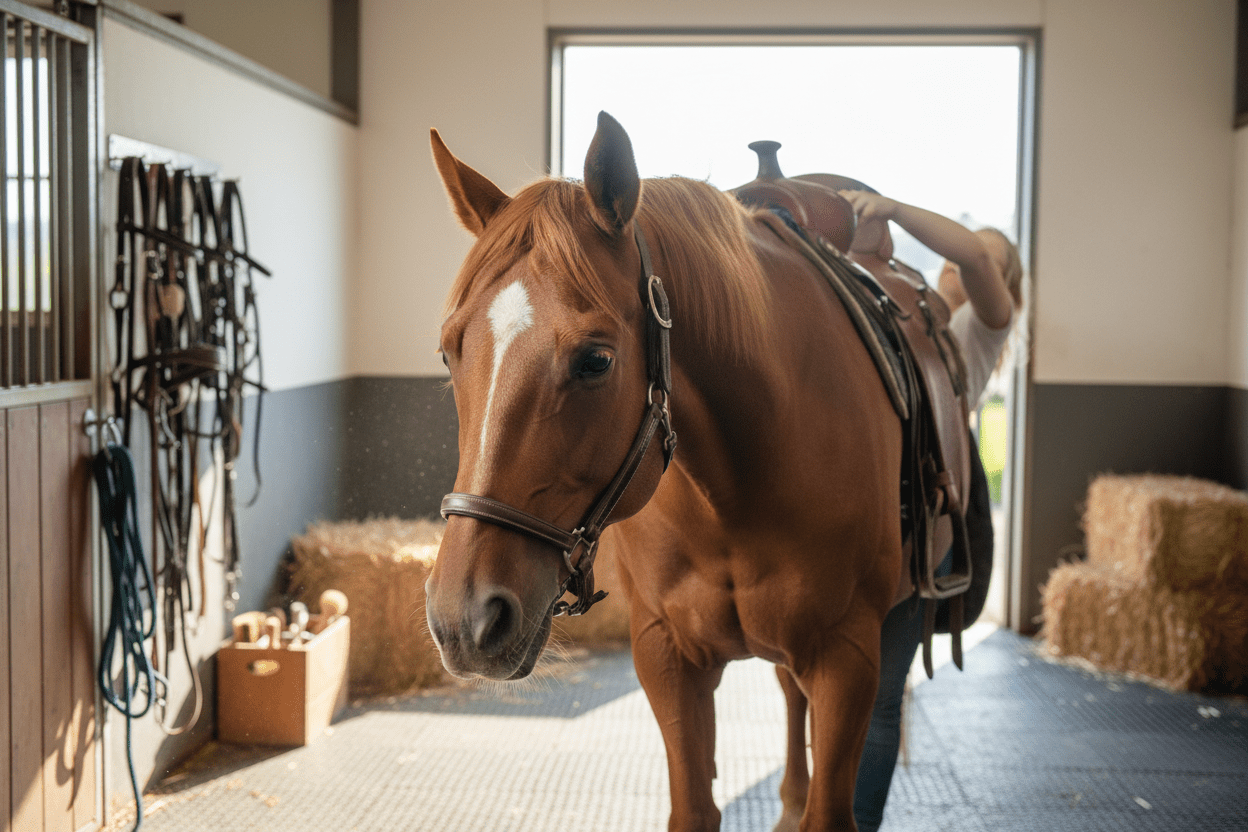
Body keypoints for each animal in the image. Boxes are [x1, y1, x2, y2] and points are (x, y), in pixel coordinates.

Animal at [424, 112, 904, 832]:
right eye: (450, 352)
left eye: (596, 360)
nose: (464, 617)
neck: (732, 494)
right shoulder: (666, 653)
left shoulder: (848, 655)